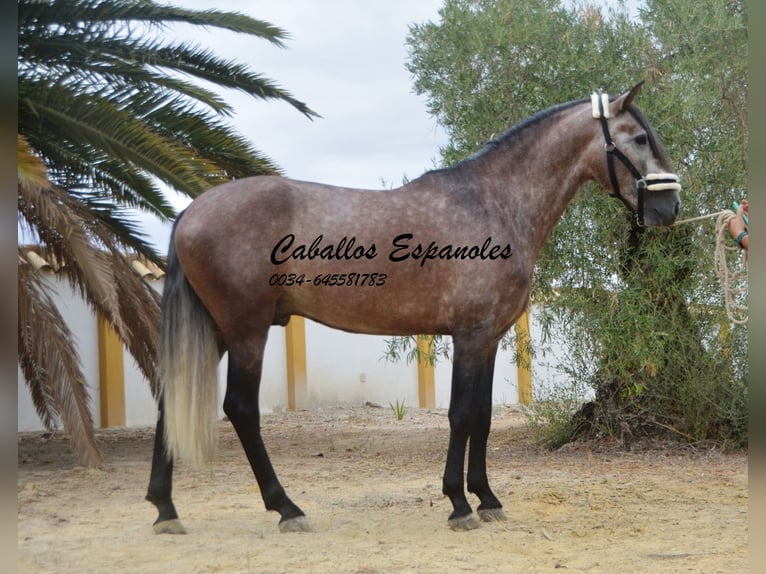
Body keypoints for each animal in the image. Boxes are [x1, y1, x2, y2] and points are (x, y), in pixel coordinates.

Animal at [146, 84, 684, 536]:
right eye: (639, 137)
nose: (671, 209)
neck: (493, 203)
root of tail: (190, 212)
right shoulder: (469, 336)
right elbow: (461, 415)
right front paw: (459, 504)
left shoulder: (488, 338)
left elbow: (483, 416)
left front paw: (487, 498)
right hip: (247, 331)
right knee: (240, 409)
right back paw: (287, 508)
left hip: (218, 331)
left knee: (168, 401)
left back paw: (165, 509)